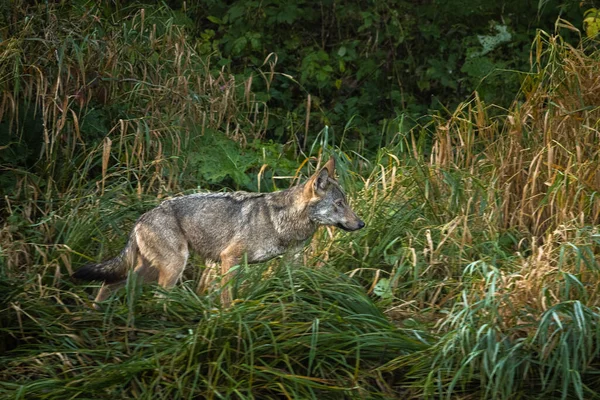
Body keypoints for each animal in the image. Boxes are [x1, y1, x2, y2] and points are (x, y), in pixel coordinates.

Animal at [74, 156, 366, 306]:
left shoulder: (292, 262)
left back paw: (98, 313)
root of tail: (141, 218)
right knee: (155, 296)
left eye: (347, 202)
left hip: (151, 271)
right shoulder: (229, 259)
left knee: (110, 284)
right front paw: (226, 319)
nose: (361, 224)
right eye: (339, 204)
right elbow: (226, 298)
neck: (283, 223)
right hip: (172, 268)